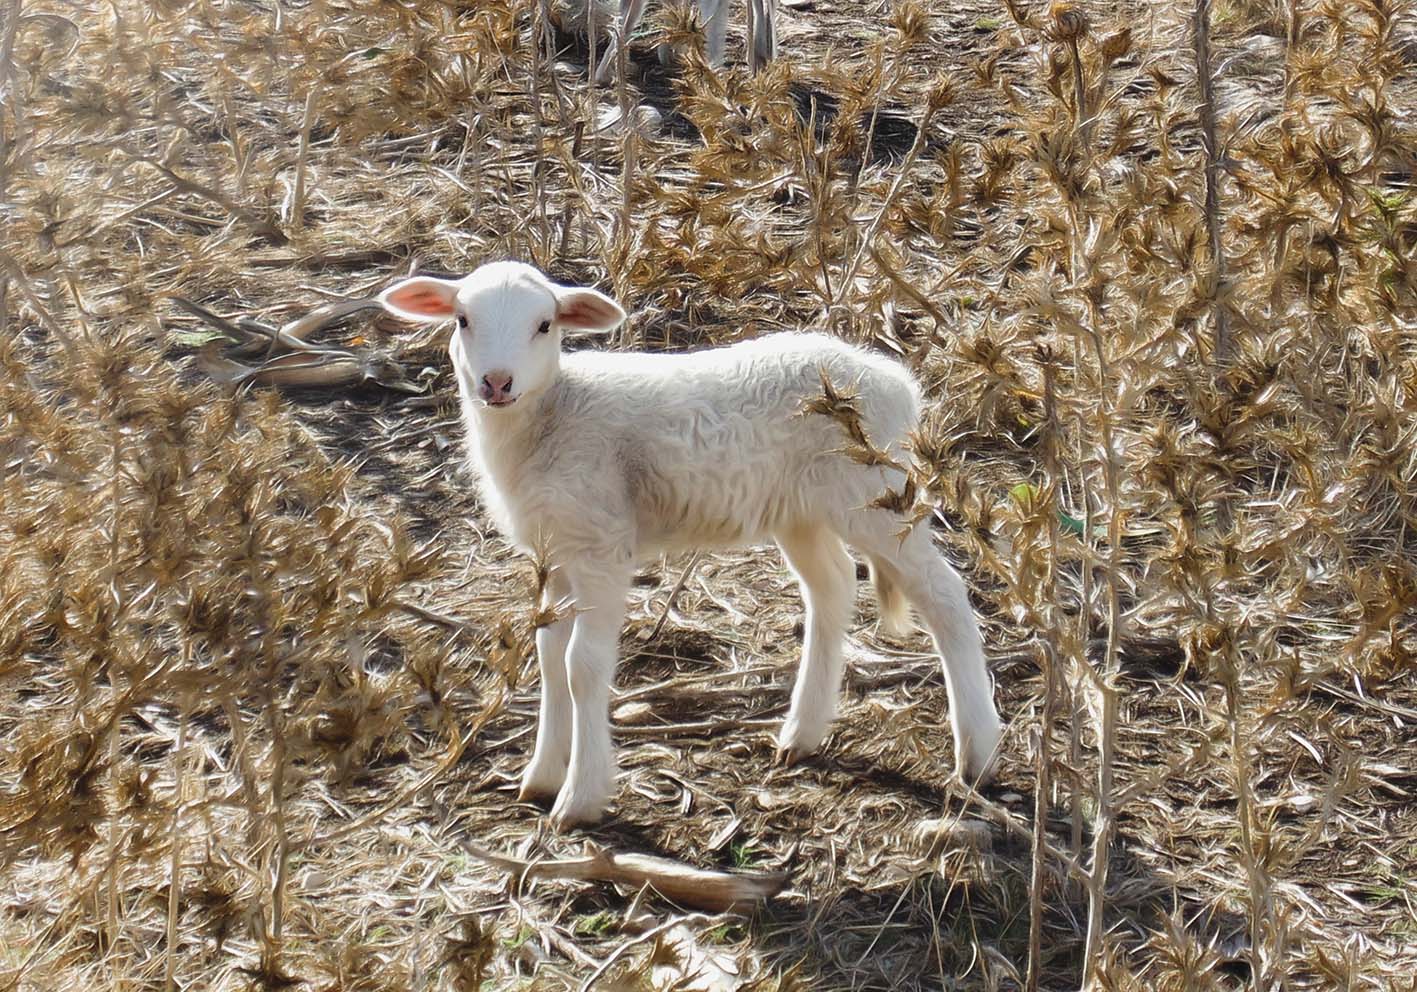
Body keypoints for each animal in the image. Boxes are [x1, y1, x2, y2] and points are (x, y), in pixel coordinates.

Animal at [382, 259, 1003, 827]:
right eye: (462, 320)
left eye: (544, 324)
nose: (496, 383)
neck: (554, 414)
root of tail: (896, 382)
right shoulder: (554, 553)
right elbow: (549, 657)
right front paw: (541, 777)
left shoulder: (601, 546)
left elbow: (582, 666)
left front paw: (579, 798)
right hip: (802, 509)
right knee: (830, 587)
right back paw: (801, 732)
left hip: (875, 496)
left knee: (946, 597)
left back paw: (978, 752)